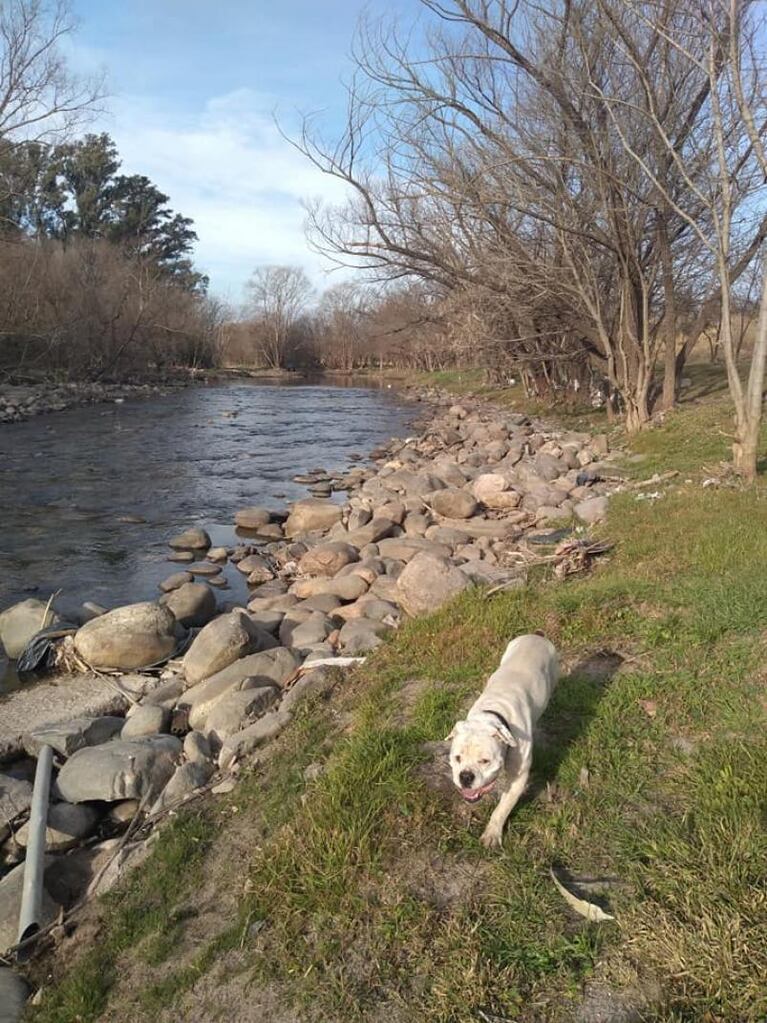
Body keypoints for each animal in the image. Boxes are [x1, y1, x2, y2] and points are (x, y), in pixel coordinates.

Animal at [443, 634, 560, 851]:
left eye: (485, 761)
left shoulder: (518, 778)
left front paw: (492, 834)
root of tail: (536, 635)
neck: (494, 715)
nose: (465, 776)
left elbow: (502, 808)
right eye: (457, 758)